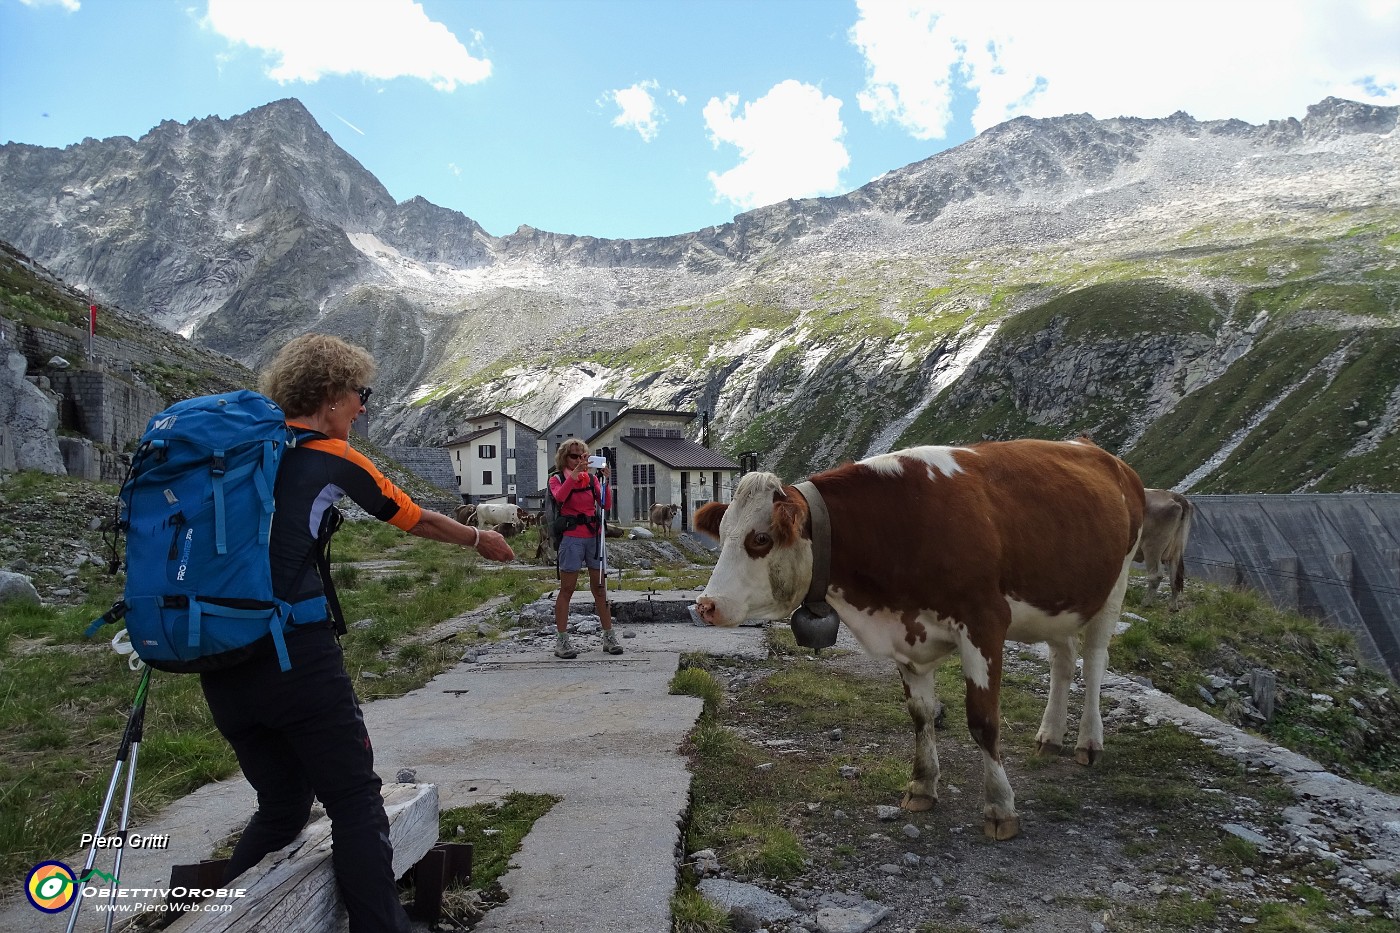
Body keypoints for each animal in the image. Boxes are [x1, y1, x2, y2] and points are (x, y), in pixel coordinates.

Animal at [694, 439, 1142, 840]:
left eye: (761, 539)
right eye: (723, 532)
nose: (706, 605)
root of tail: (1096, 450)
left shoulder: (984, 623)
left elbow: (984, 721)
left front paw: (1000, 807)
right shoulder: (906, 634)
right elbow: (921, 714)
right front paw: (923, 785)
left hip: (1114, 585)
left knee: (1094, 660)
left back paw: (1088, 742)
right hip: (1059, 604)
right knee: (1063, 659)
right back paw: (1050, 737)